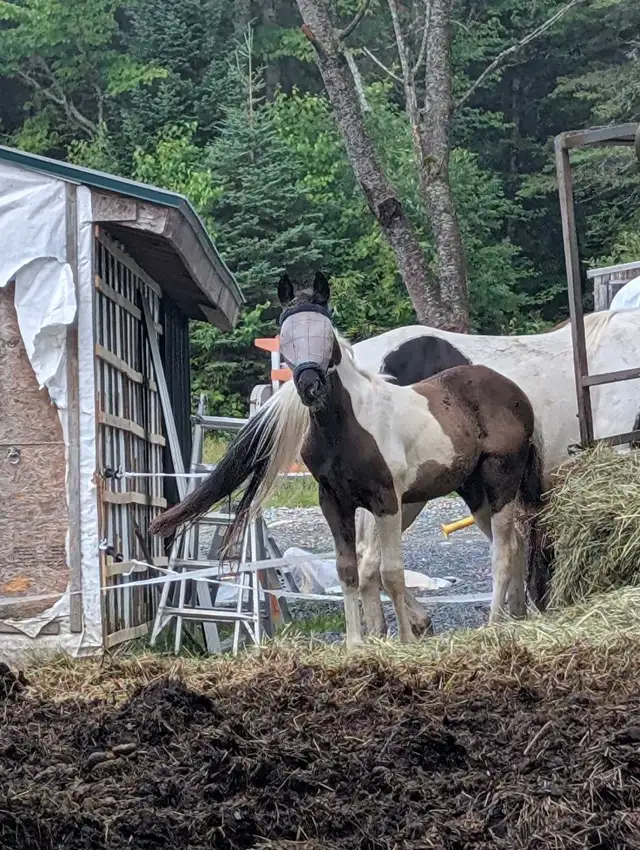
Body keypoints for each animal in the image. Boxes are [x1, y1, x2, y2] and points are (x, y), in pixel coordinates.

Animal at [150, 272, 543, 648]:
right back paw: (512, 619)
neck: (347, 429)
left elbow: (390, 573)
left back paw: (494, 625)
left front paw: (404, 641)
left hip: (500, 483)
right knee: (513, 545)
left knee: (503, 550)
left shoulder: (387, 502)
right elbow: (349, 571)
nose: (310, 386)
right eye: (284, 334)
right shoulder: (334, 503)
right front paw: (356, 643)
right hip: (474, 492)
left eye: (327, 334)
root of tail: (516, 394)